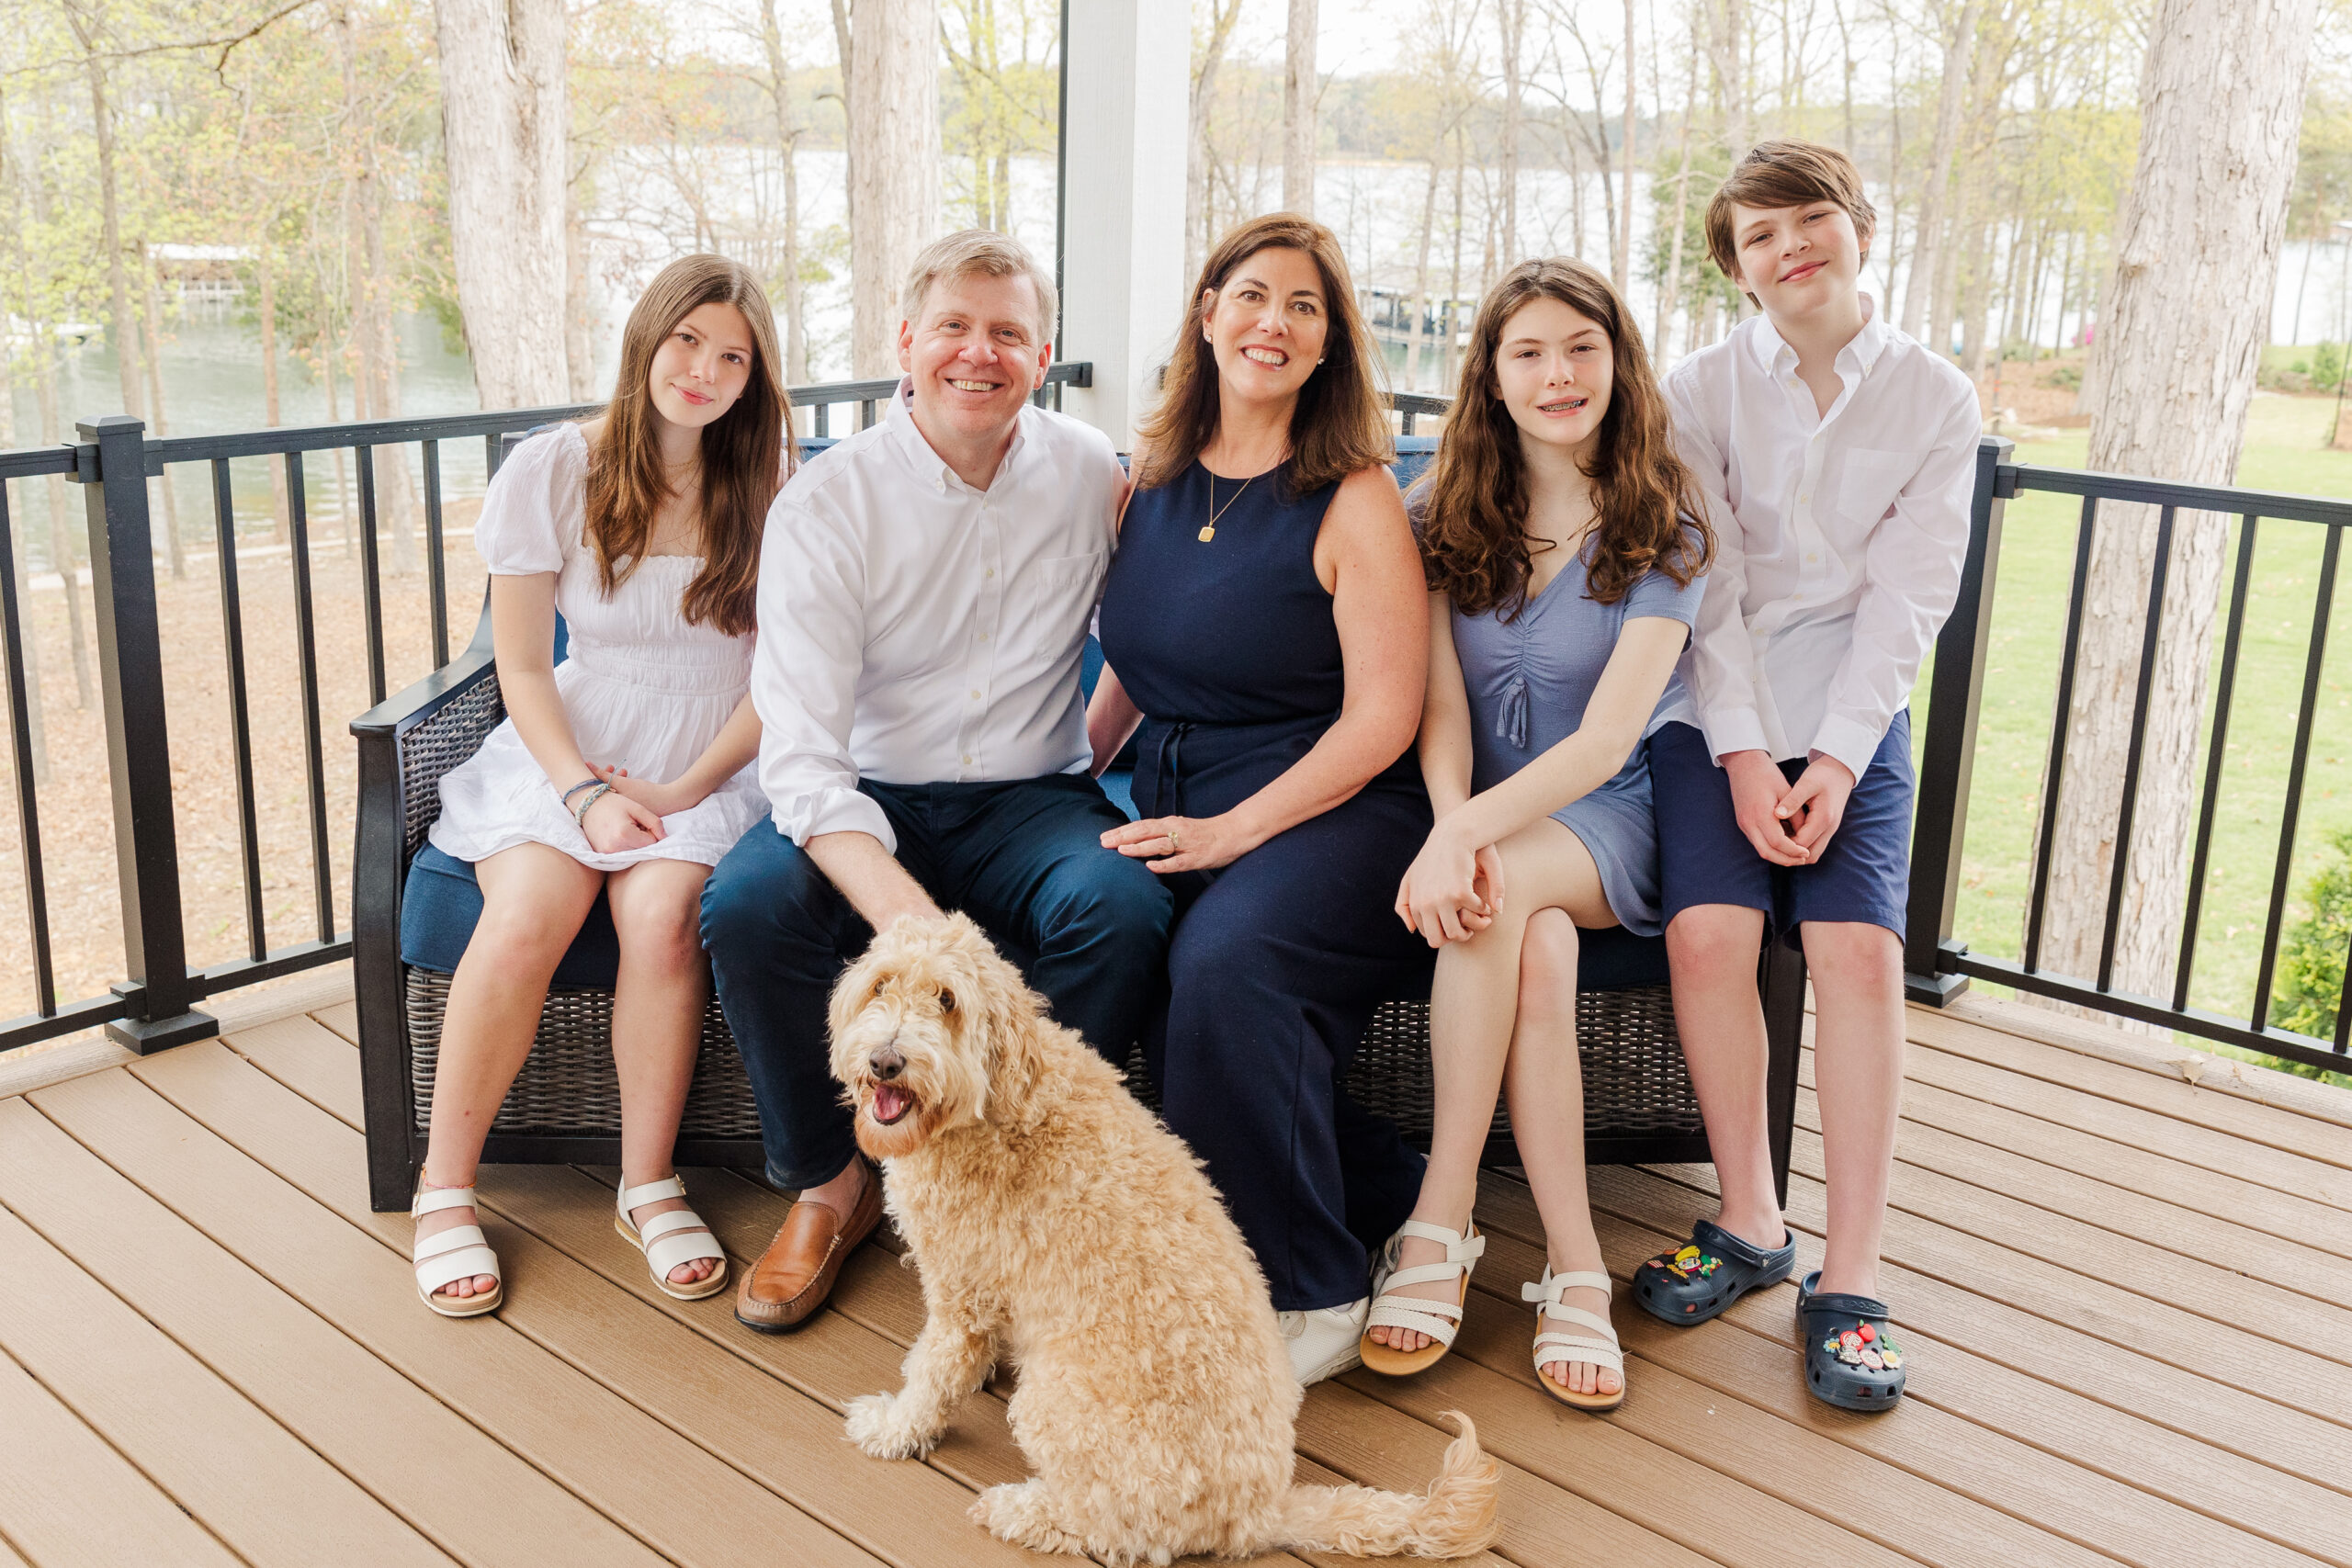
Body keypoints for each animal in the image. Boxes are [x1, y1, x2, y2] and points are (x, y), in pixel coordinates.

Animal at [828, 911, 1496, 1561]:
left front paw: (894, 1427)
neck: (1000, 1100)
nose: (886, 1061)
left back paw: (1023, 1510)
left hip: (1058, 1401)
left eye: (948, 1000)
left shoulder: (962, 1293)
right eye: (881, 985)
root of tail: (1260, 1510)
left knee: (1119, 1530)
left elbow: (933, 1376)